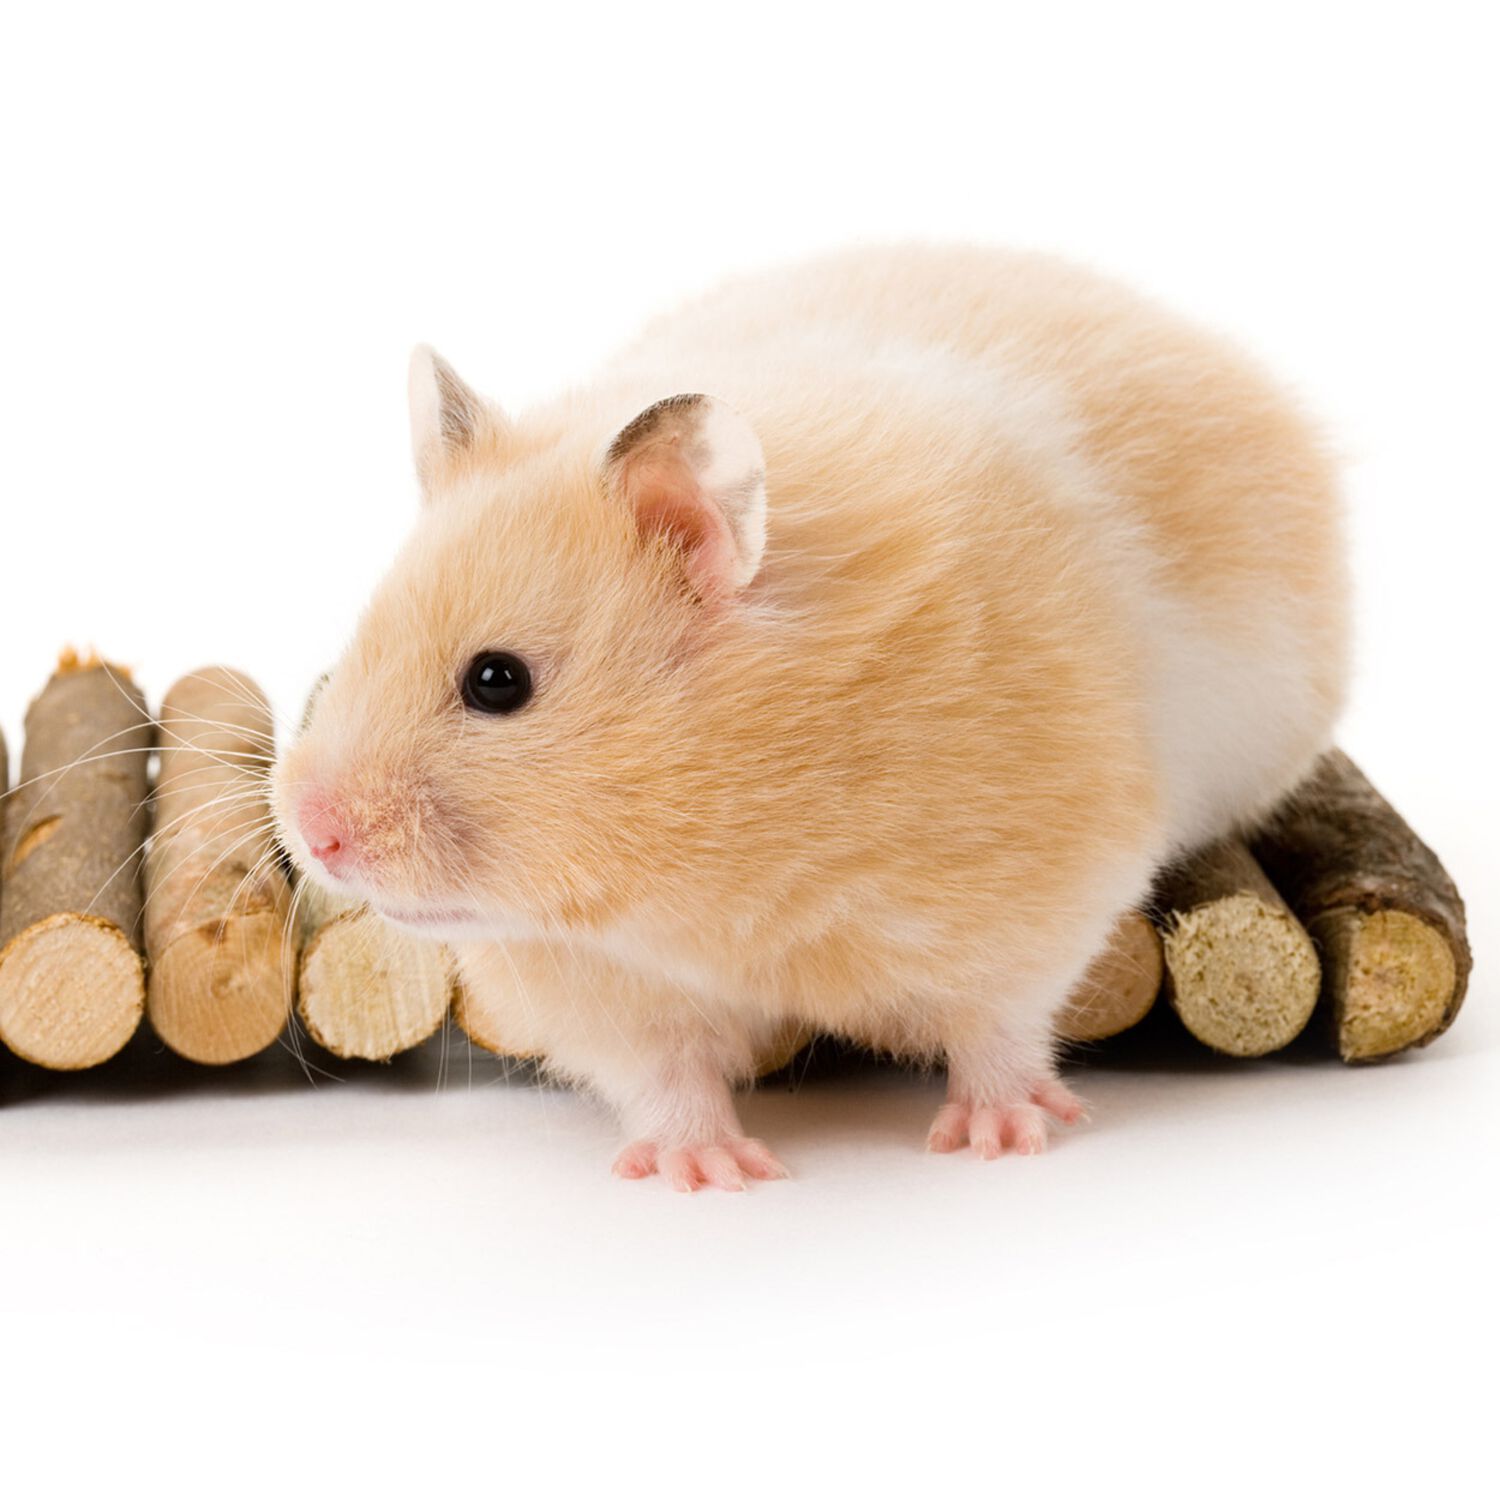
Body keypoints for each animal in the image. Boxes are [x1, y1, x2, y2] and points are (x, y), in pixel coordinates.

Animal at [275, 245, 1349, 1189]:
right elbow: (665, 1076)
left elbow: (1002, 1025)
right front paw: (707, 1173)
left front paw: (1000, 1140)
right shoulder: (599, 981)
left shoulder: (1046, 886)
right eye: (357, 644)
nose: (315, 837)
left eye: (498, 682)